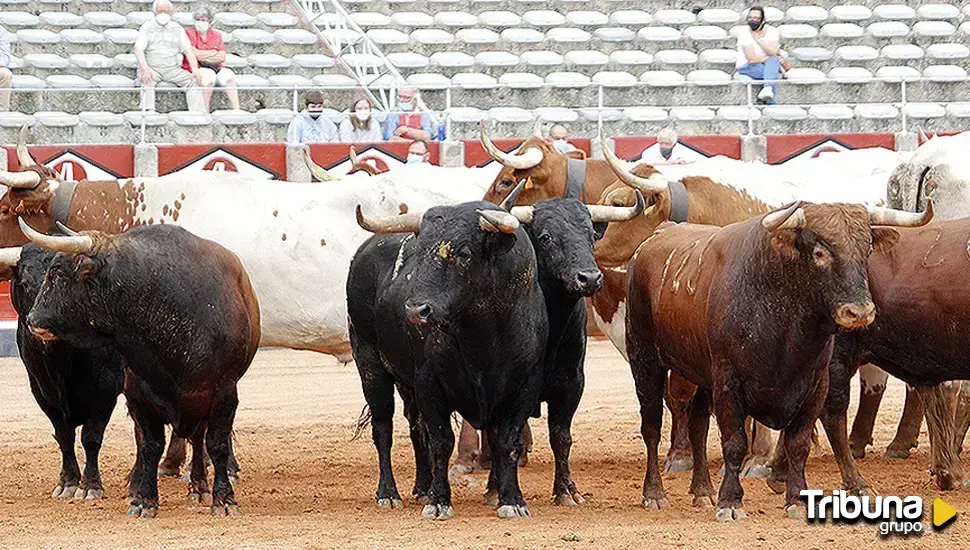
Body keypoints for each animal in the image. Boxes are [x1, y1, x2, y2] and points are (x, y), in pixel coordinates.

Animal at [624, 202, 928, 520]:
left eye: (866, 250)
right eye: (819, 253)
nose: (859, 312)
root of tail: (649, 244)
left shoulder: (815, 385)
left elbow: (798, 444)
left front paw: (797, 499)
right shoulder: (728, 384)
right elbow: (734, 443)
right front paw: (730, 502)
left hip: (700, 374)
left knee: (697, 428)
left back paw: (702, 491)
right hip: (644, 360)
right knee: (651, 427)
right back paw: (654, 493)